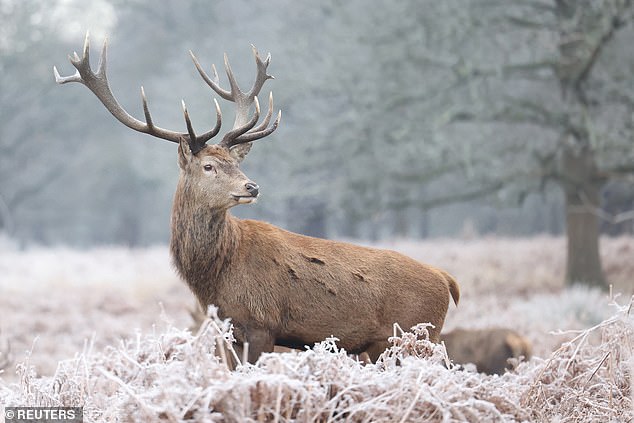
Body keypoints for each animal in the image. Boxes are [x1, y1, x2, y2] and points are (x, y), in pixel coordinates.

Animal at [55, 34, 460, 364]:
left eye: (235, 163)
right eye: (209, 166)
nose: (252, 187)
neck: (213, 279)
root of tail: (447, 280)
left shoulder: (262, 323)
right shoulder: (229, 330)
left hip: (412, 337)